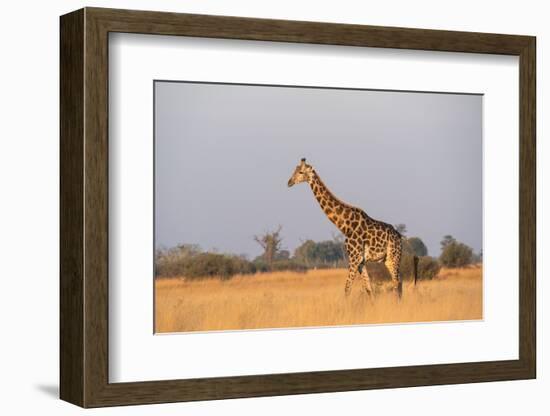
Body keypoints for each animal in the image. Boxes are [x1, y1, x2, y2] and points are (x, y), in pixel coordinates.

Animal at [288, 158, 406, 298]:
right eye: (294, 170)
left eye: (300, 172)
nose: (289, 182)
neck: (344, 225)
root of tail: (399, 236)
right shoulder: (360, 262)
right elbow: (369, 289)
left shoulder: (354, 259)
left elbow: (347, 289)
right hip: (387, 259)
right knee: (399, 282)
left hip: (394, 256)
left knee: (397, 283)